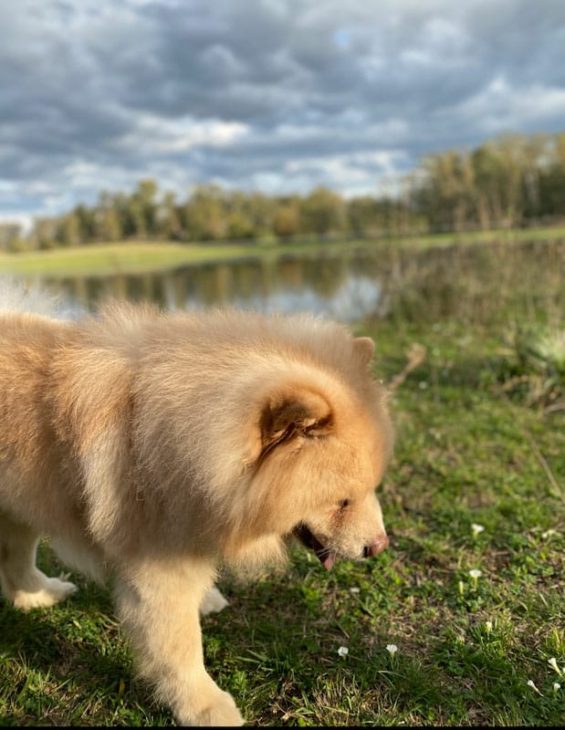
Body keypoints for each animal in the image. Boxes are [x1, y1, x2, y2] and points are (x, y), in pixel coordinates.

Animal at [0, 284, 392, 724]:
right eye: (341, 501)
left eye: (371, 489)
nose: (379, 546)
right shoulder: (156, 570)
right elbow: (180, 648)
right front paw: (206, 707)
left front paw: (205, 598)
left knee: (15, 560)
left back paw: (40, 594)